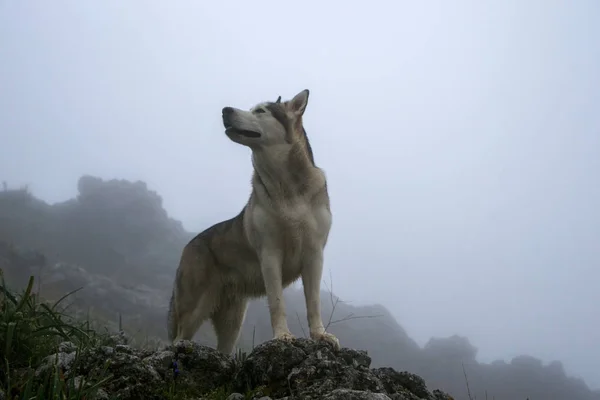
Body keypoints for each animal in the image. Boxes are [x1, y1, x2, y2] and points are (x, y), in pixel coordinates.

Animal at [166, 88, 340, 354]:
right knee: (178, 337)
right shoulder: (270, 254)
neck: (288, 191)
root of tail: (190, 243)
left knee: (224, 348)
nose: (225, 110)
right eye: (251, 108)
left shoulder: (314, 255)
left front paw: (320, 335)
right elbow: (277, 302)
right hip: (195, 308)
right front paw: (282, 336)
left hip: (233, 323)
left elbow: (313, 303)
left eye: (260, 111)